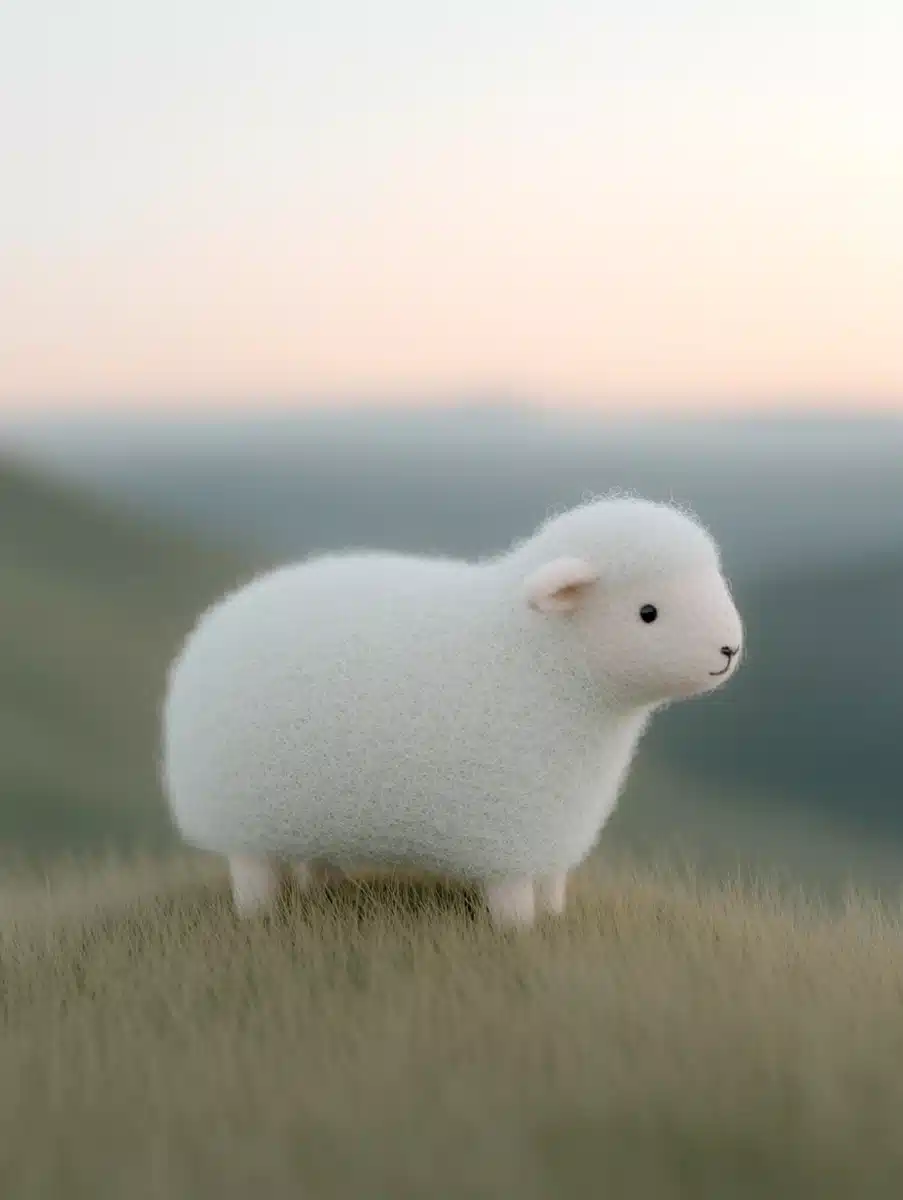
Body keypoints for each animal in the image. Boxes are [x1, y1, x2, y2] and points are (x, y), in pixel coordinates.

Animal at [161, 496, 743, 929]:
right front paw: (519, 932)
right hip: (240, 816)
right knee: (252, 874)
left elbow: (553, 887)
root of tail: (212, 625)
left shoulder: (555, 828)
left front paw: (555, 917)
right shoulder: (513, 830)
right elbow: (514, 905)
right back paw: (258, 914)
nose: (728, 650)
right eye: (648, 613)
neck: (539, 660)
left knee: (311, 859)